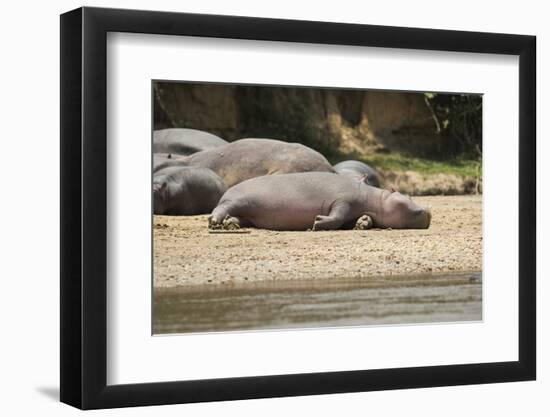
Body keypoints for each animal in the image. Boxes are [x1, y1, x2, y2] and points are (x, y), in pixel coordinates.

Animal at [209, 172, 434, 231]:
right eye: (406, 196)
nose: (429, 210)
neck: (375, 198)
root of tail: (227, 190)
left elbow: (355, 219)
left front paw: (363, 224)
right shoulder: (343, 201)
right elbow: (337, 216)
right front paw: (317, 222)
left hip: (248, 213)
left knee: (237, 217)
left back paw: (230, 224)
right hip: (237, 200)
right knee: (221, 207)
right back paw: (214, 222)